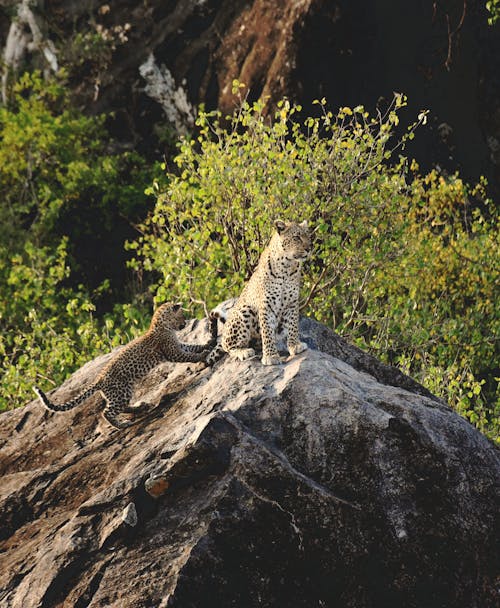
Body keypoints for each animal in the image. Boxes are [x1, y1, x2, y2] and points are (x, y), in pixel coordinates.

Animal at [32, 302, 218, 428]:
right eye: (181, 316)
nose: (185, 323)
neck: (162, 326)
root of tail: (99, 380)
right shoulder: (172, 352)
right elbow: (189, 355)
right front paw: (203, 354)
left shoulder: (178, 345)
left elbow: (192, 347)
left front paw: (207, 344)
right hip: (120, 391)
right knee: (106, 412)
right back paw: (122, 424)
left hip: (124, 390)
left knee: (121, 407)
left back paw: (141, 407)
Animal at [206, 221, 308, 368]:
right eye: (296, 238)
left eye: (308, 237)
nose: (309, 248)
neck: (287, 267)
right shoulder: (266, 305)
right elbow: (267, 331)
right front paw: (271, 356)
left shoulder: (292, 303)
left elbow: (293, 325)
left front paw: (295, 346)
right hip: (245, 311)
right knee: (227, 346)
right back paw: (244, 352)